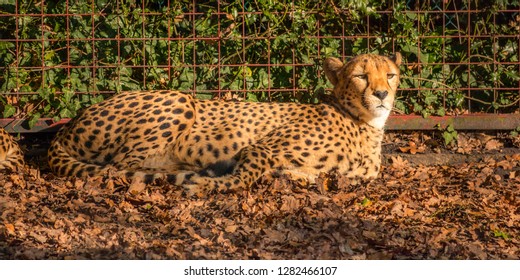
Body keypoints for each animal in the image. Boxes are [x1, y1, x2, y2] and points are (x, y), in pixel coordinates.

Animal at [48, 53, 402, 192]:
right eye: (361, 76)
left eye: (390, 75)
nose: (382, 94)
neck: (364, 123)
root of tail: (66, 126)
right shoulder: (260, 149)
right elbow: (241, 179)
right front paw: (207, 184)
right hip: (179, 100)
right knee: (119, 166)